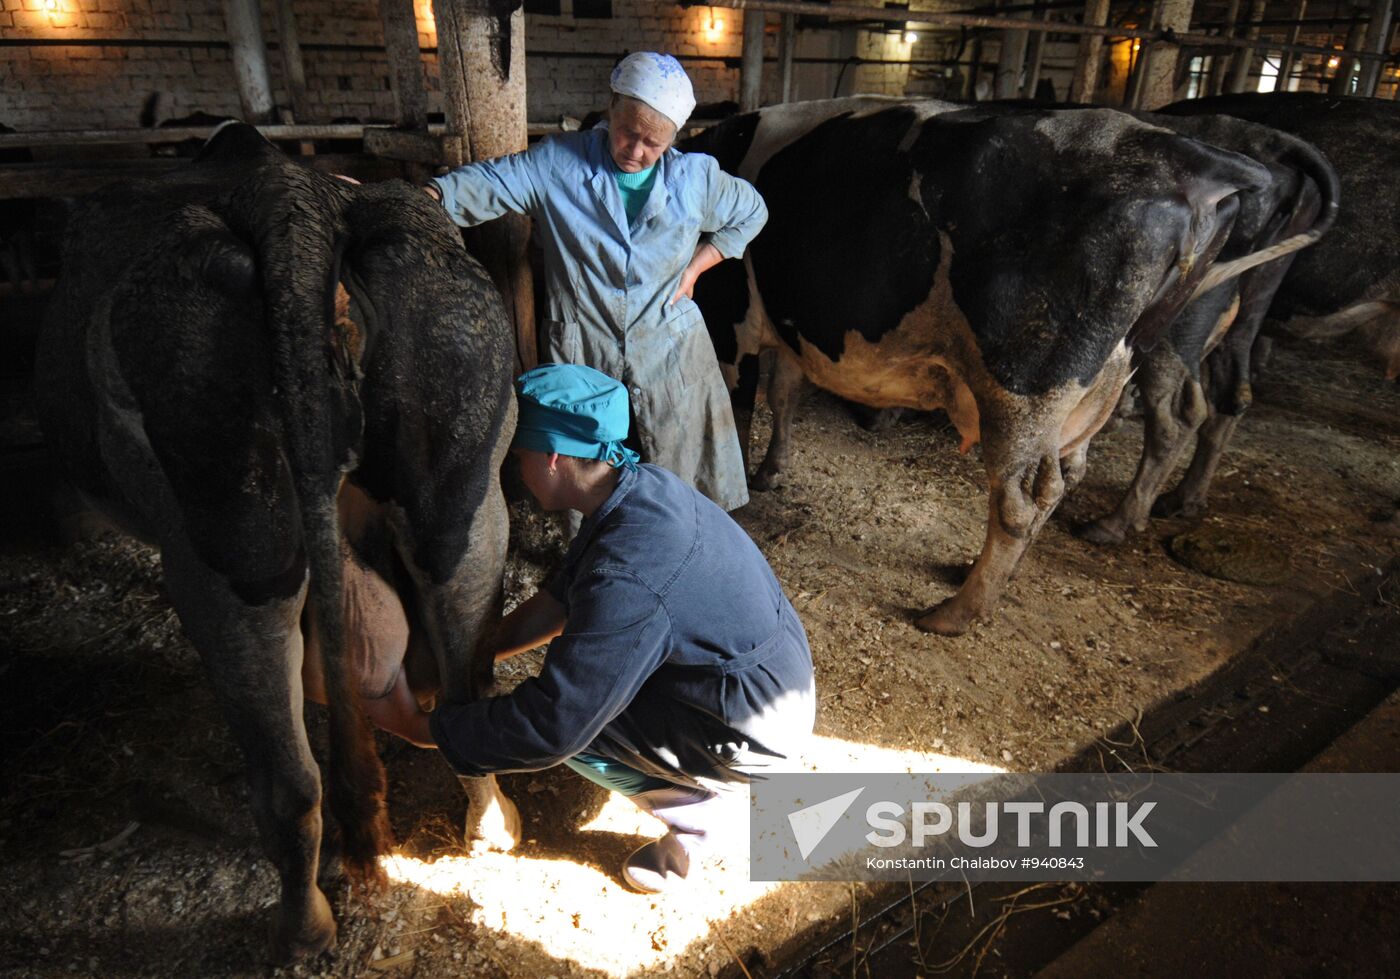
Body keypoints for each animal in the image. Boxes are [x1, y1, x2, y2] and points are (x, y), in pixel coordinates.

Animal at [36, 126, 520, 963]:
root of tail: (294, 200)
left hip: (231, 544)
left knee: (288, 778)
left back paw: (303, 929)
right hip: (460, 484)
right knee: (464, 679)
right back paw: (488, 827)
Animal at [683, 99, 1293, 635]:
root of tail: (1191, 157)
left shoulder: (728, 320)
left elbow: (735, 411)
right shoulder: (789, 328)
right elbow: (784, 394)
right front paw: (772, 471)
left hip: (1027, 384)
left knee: (1026, 498)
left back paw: (957, 612)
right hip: (1106, 377)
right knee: (1080, 467)